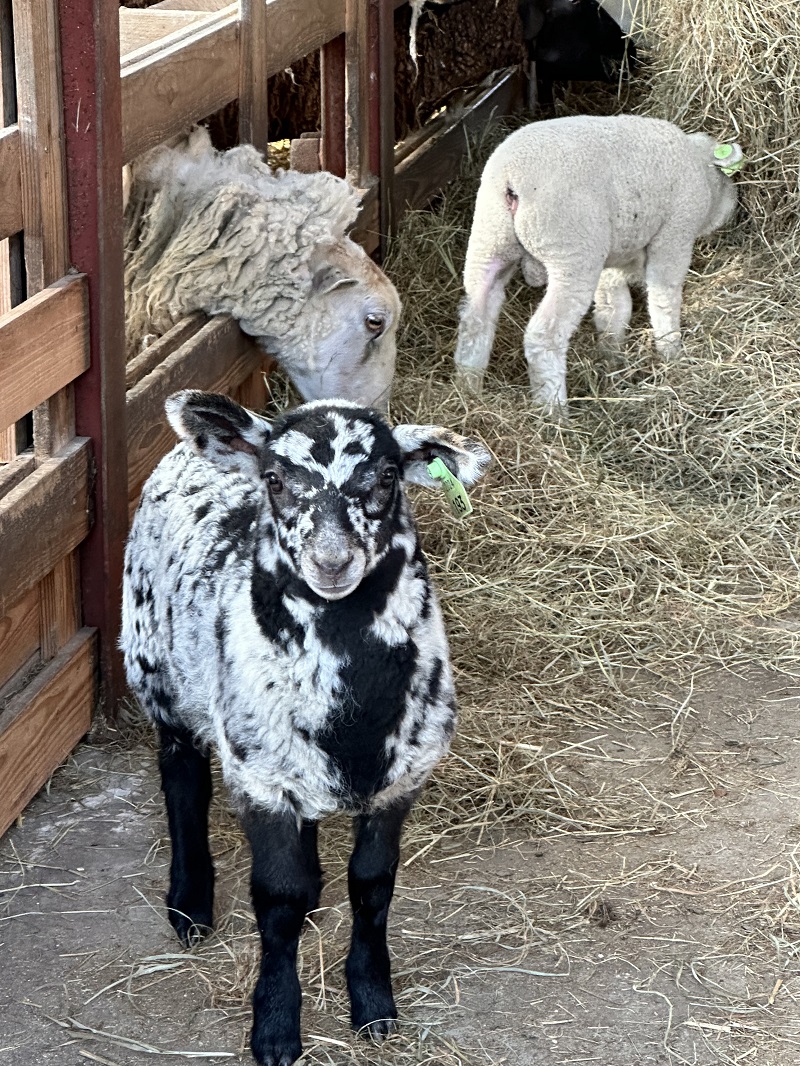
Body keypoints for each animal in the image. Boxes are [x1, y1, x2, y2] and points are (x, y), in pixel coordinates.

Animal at [122, 390, 492, 1066]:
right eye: (275, 480)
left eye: (388, 476)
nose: (332, 560)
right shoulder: (259, 776)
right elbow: (278, 897)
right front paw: (274, 1027)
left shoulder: (405, 775)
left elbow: (372, 886)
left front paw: (373, 1005)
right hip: (153, 665)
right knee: (182, 778)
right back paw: (189, 905)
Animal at [454, 115, 742, 411]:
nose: (735, 210)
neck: (701, 169)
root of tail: (510, 180)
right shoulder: (675, 233)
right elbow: (664, 297)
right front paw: (671, 351)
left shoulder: (612, 254)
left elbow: (613, 305)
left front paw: (611, 353)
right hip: (571, 253)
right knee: (543, 336)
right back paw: (553, 411)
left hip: (490, 240)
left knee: (475, 318)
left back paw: (469, 389)